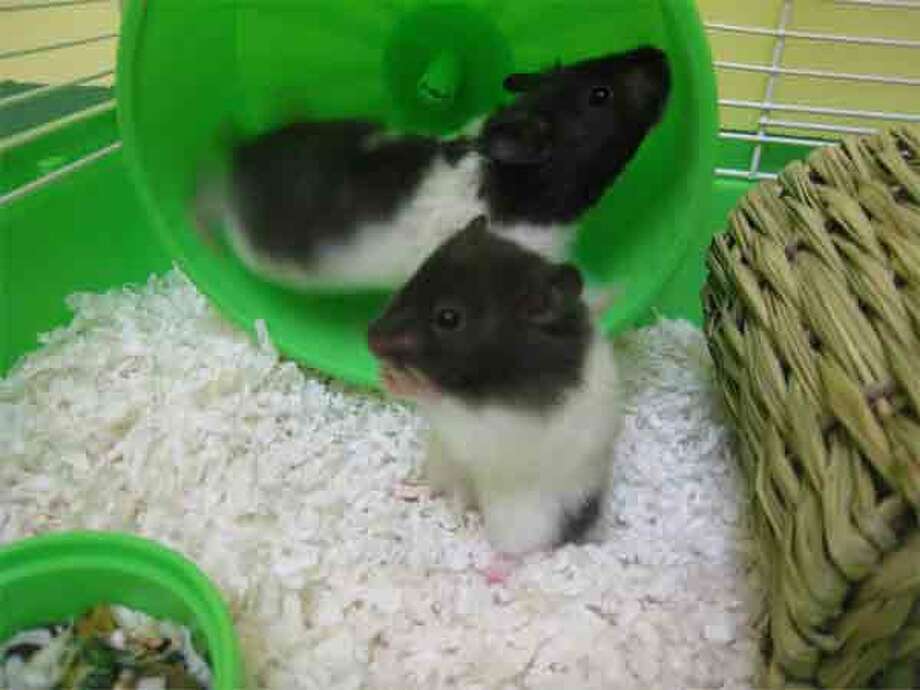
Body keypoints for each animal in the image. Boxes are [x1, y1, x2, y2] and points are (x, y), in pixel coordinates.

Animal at [367, 215, 622, 572]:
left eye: (448, 317)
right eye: (414, 278)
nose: (369, 338)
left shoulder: (491, 421)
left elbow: (438, 399)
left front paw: (402, 380)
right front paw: (385, 375)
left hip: (524, 519)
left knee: (533, 549)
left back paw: (492, 568)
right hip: (442, 461)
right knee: (440, 488)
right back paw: (407, 490)